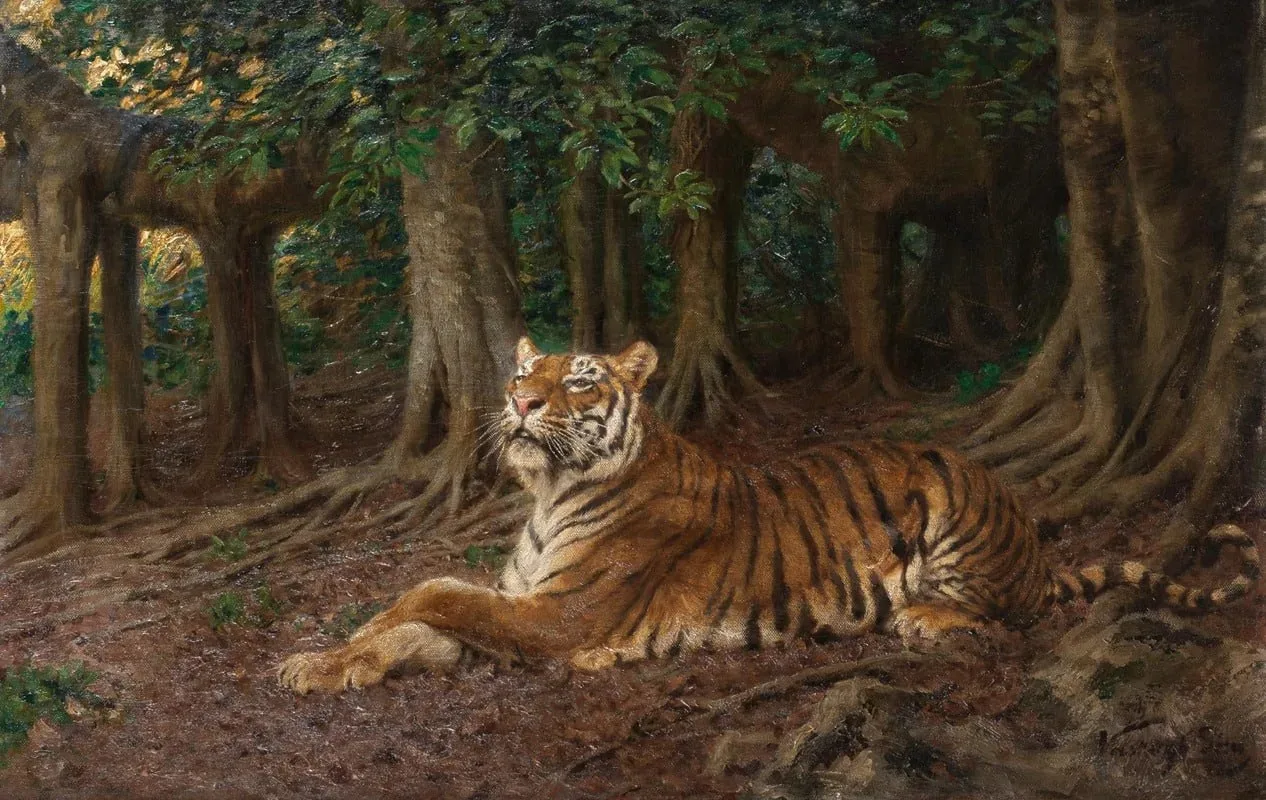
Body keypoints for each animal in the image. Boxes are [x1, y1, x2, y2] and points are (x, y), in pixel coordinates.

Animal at [278, 338, 1260, 694]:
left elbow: (432, 593)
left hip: (949, 491)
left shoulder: (560, 618)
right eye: (526, 370)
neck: (547, 496)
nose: (520, 401)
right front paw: (323, 663)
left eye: (580, 379)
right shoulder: (517, 605)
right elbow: (419, 616)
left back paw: (922, 617)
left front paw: (333, 654)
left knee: (1001, 610)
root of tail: (1028, 533)